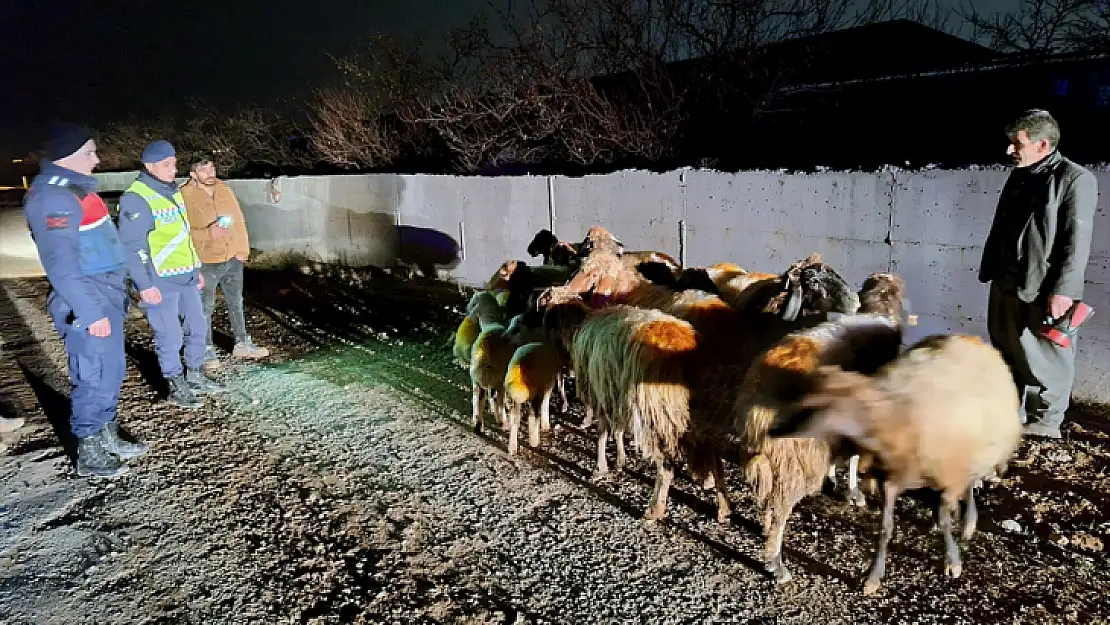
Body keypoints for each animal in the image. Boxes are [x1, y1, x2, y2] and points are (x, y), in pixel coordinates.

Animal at [728, 271, 910, 586]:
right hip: (795, 456)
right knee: (781, 507)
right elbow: (853, 456)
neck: (879, 311)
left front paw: (837, 480)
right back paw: (776, 565)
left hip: (774, 457)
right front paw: (853, 491)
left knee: (769, 497)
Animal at [772, 335, 1021, 595]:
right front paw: (873, 576)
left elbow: (945, 520)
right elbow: (886, 527)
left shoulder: (950, 473)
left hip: (975, 451)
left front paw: (952, 561)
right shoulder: (889, 480)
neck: (892, 418)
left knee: (971, 483)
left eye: (811, 408)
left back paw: (968, 522)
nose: (774, 431)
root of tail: (971, 339)